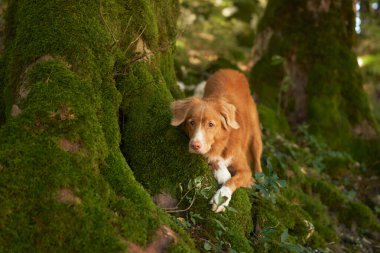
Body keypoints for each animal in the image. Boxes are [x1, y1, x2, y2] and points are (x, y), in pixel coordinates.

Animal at [171, 68, 262, 211]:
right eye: (191, 122)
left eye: (211, 124)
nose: (194, 145)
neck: (223, 143)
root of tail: (232, 70)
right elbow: (213, 158)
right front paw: (222, 172)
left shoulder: (246, 171)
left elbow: (233, 180)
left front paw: (221, 199)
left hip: (256, 134)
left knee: (258, 161)